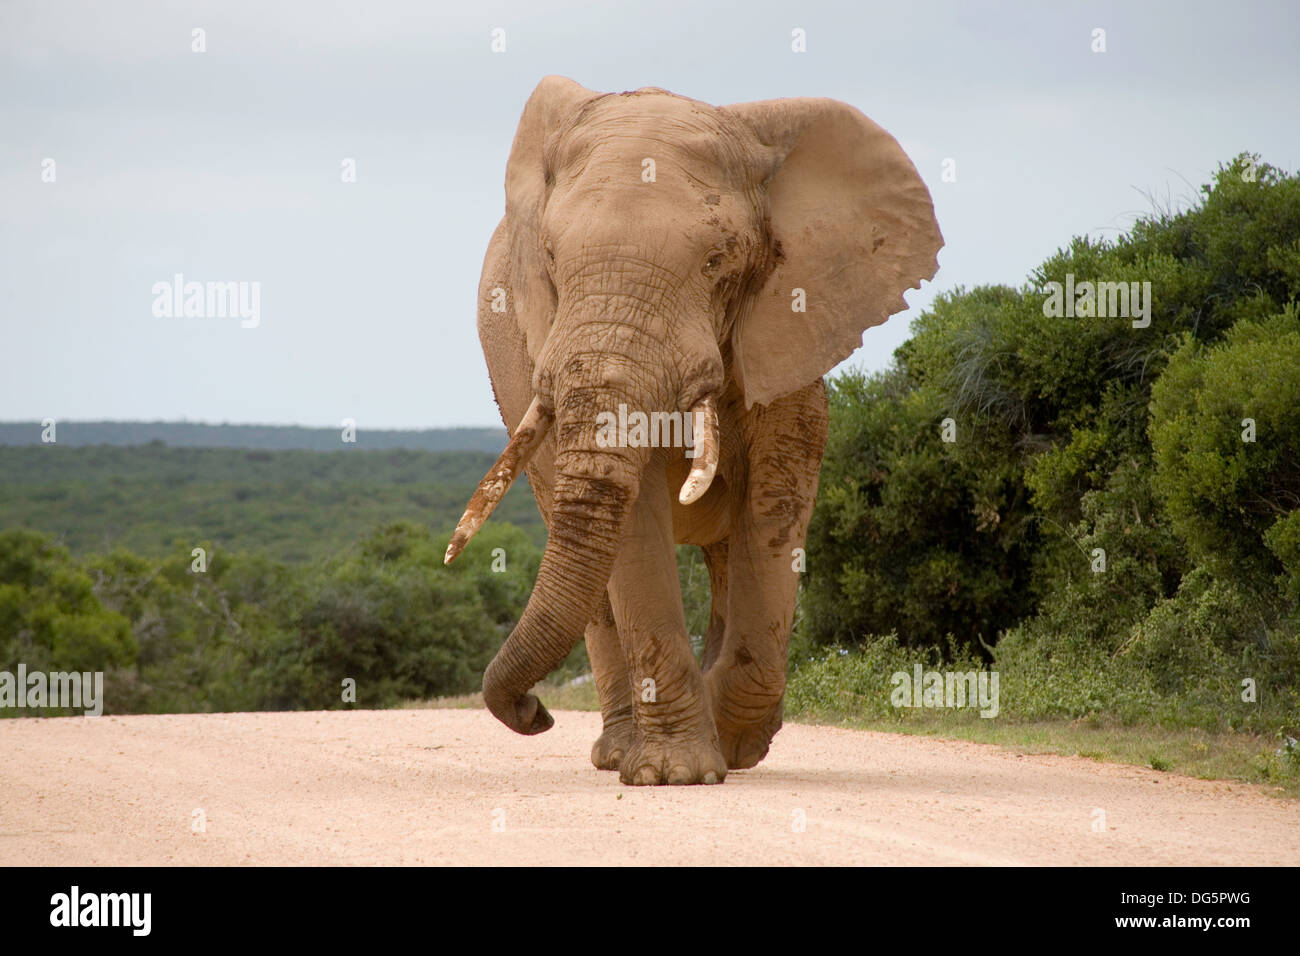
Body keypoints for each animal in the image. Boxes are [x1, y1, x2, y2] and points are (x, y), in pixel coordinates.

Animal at [441, 76, 941, 785]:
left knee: (727, 556)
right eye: (550, 260)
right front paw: (675, 773)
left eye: (716, 261)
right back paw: (619, 752)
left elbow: (775, 512)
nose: (536, 712)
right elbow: (636, 520)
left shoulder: (790, 330)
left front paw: (730, 743)